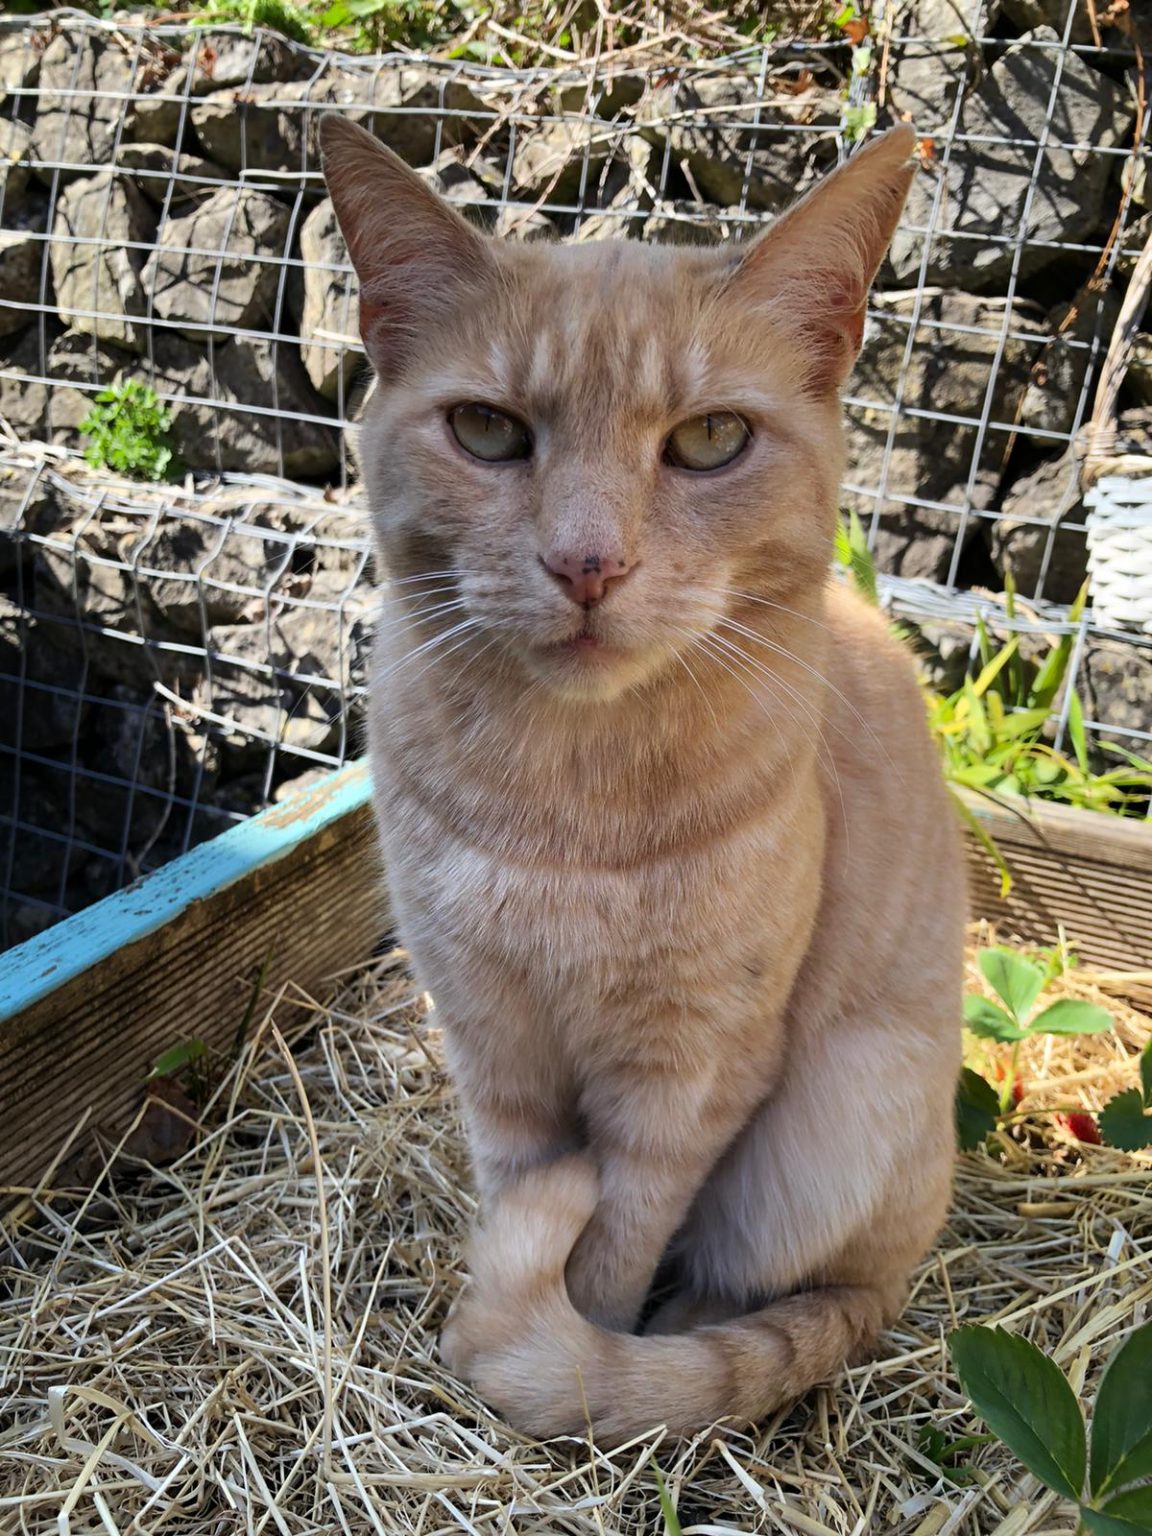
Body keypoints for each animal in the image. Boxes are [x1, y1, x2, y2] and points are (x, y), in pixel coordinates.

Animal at [320, 115, 966, 1443]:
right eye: (489, 431)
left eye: (711, 441)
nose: (587, 563)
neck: (562, 800)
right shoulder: (490, 1038)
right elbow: (520, 1191)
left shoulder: (692, 1074)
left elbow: (611, 1246)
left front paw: (574, 1372)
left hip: (829, 1132)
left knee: (763, 1291)